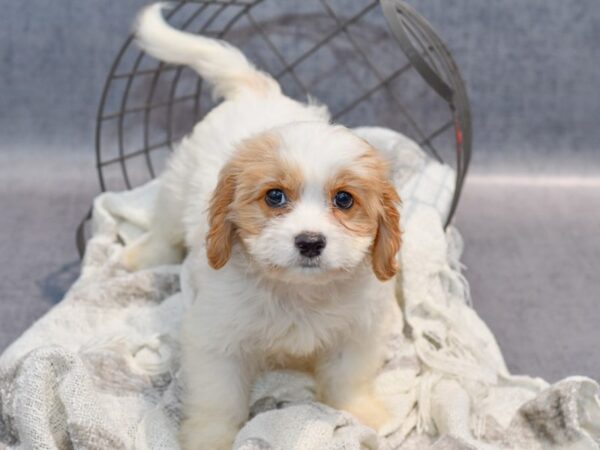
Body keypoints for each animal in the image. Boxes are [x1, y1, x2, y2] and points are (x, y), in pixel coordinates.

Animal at [124, 4, 400, 450]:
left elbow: (349, 380)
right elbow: (218, 399)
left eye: (344, 200)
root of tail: (259, 92)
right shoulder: (216, 341)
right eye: (274, 197)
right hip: (175, 185)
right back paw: (140, 257)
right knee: (165, 228)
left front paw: (362, 414)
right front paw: (210, 440)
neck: (298, 293)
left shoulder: (357, 333)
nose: (310, 242)